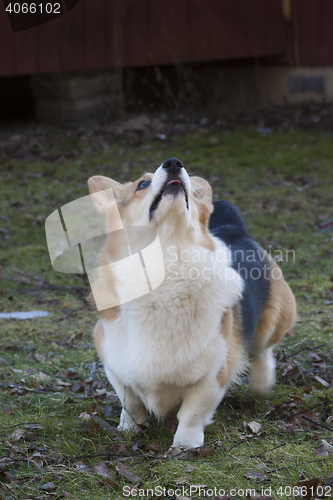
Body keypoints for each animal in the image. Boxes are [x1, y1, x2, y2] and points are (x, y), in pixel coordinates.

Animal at [88, 157, 296, 450]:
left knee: (262, 348)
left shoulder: (212, 375)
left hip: (276, 319)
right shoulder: (115, 364)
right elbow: (130, 402)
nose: (174, 163)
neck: (166, 261)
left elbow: (192, 413)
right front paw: (129, 429)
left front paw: (185, 446)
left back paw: (262, 382)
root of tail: (235, 228)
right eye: (143, 184)